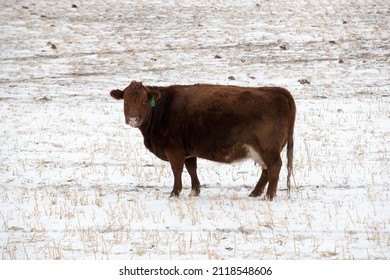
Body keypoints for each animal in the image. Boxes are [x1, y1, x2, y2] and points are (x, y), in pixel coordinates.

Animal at [109, 81, 296, 199]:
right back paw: (255, 192)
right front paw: (195, 191)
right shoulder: (188, 150)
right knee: (266, 171)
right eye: (125, 101)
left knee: (274, 167)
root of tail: (277, 90)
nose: (133, 119)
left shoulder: (174, 149)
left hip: (268, 148)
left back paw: (269, 196)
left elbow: (177, 170)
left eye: (144, 100)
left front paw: (174, 192)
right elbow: (192, 169)